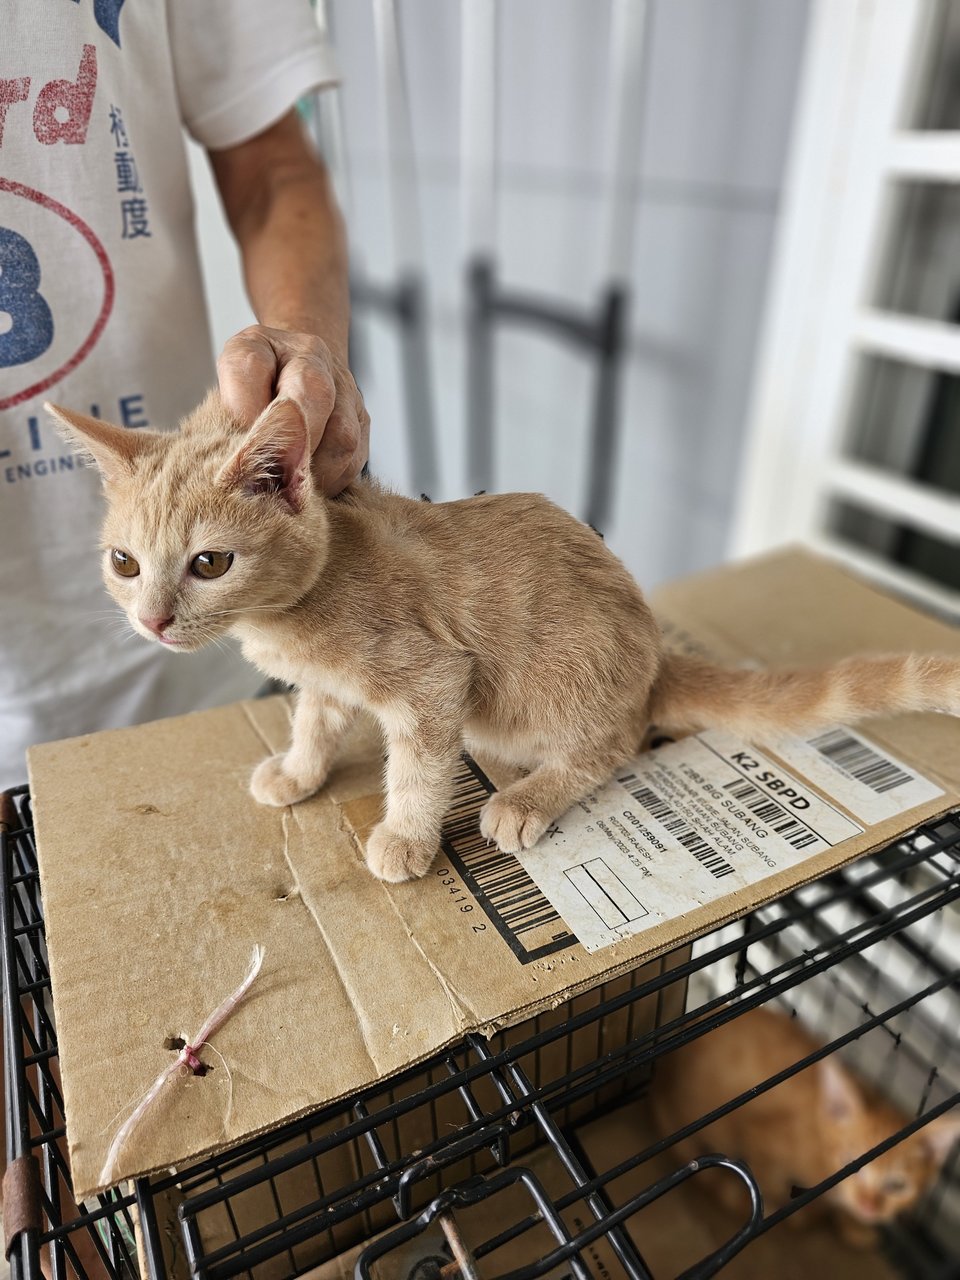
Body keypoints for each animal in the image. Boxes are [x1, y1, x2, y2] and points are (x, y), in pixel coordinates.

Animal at [50, 396, 960, 880]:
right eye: (125, 563)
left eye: (210, 562)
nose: (153, 620)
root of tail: (652, 660)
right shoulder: (327, 683)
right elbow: (314, 720)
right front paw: (300, 772)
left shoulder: (430, 679)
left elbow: (419, 769)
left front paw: (406, 838)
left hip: (561, 683)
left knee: (614, 743)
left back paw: (527, 798)